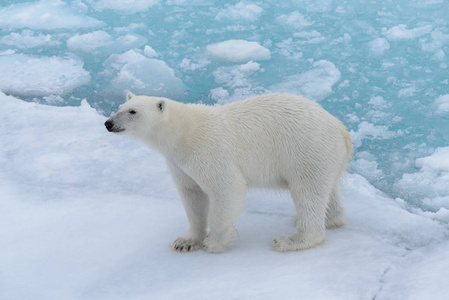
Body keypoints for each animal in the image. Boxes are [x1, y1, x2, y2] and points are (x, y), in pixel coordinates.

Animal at [105, 92, 354, 252]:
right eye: (118, 108)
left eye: (132, 111)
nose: (108, 123)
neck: (184, 133)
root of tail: (341, 129)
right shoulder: (178, 163)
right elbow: (192, 196)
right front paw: (185, 242)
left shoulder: (208, 152)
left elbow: (227, 189)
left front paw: (213, 242)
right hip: (323, 157)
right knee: (327, 191)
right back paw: (328, 219)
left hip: (305, 151)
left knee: (307, 192)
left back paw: (290, 240)